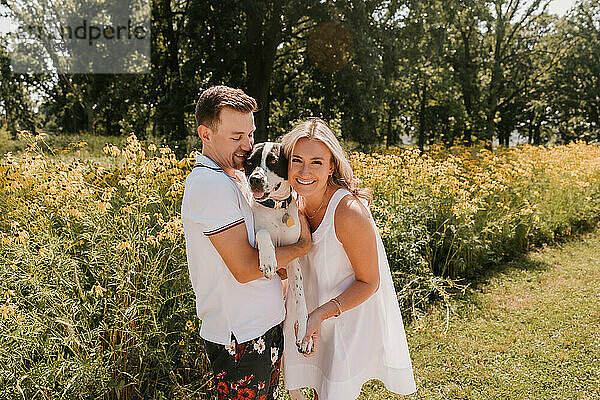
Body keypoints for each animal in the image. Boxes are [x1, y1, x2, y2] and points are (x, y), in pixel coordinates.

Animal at [243, 143, 312, 356]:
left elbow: (301, 298)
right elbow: (264, 232)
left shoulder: (293, 256)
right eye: (250, 163)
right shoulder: (256, 234)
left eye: (273, 161)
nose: (255, 180)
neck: (276, 208)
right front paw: (268, 261)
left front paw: (303, 333)